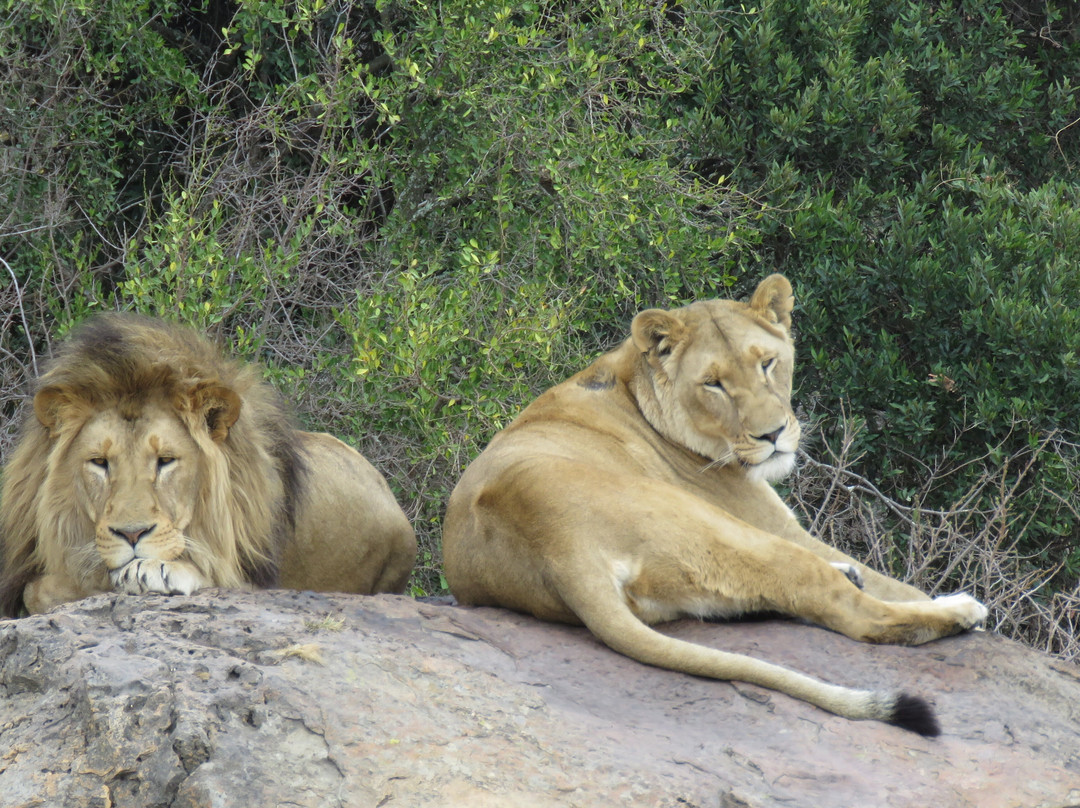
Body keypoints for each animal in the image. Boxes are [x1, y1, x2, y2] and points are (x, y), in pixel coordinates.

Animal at [0, 313, 417, 617]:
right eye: (100, 462)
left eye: (166, 461)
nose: (132, 535)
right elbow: (42, 587)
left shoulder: (255, 579)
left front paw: (154, 572)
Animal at [443, 274, 987, 736]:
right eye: (714, 384)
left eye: (767, 363)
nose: (772, 435)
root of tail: (556, 550)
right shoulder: (778, 526)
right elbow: (898, 586)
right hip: (720, 529)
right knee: (852, 612)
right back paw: (960, 610)